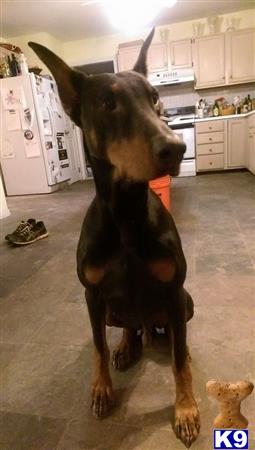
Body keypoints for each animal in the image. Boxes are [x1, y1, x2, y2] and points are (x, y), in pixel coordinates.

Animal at [29, 29, 200, 448]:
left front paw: (186, 409)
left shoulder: (174, 288)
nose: (176, 147)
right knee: (128, 326)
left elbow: (179, 360)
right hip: (109, 308)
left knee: (171, 336)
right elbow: (98, 347)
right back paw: (126, 347)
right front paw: (102, 389)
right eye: (108, 103)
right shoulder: (91, 295)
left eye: (155, 97)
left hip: (183, 303)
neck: (124, 213)